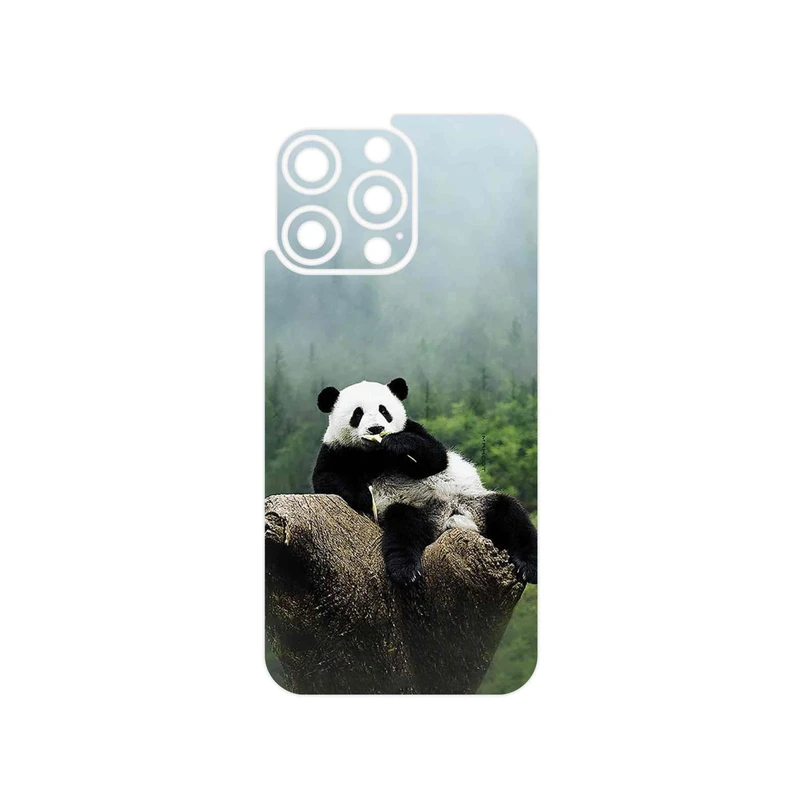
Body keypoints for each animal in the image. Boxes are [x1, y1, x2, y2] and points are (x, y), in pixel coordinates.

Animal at [312, 377, 537, 586]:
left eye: (384, 410)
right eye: (357, 414)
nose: (376, 429)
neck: (376, 454)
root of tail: (449, 518)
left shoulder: (413, 429)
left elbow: (436, 457)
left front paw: (397, 443)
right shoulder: (336, 450)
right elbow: (326, 478)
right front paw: (364, 497)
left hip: (474, 501)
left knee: (510, 514)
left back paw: (529, 566)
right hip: (416, 510)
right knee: (403, 526)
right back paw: (405, 570)